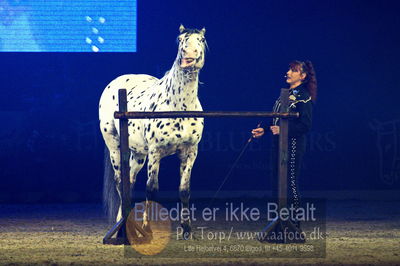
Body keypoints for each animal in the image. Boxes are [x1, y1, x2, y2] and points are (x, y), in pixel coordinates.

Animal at [99, 25, 206, 237]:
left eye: (201, 39)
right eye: (181, 39)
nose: (189, 55)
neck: (179, 106)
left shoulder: (190, 152)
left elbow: (184, 189)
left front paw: (186, 228)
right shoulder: (155, 152)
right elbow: (151, 189)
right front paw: (147, 227)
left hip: (139, 154)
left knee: (130, 181)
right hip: (115, 146)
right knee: (120, 181)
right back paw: (121, 227)